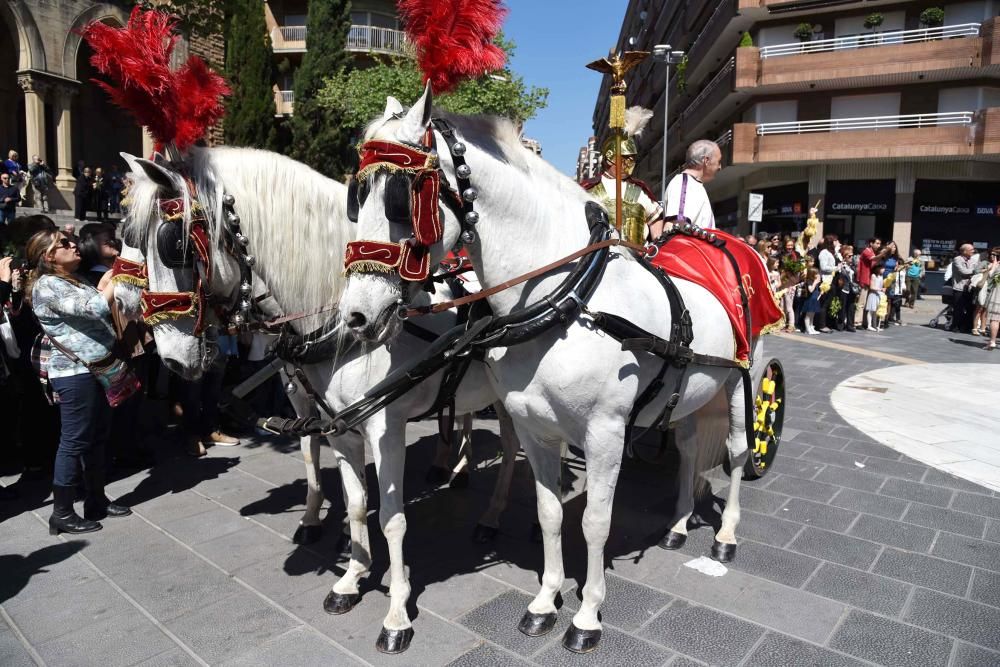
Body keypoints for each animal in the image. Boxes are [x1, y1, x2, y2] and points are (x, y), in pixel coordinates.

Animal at [115, 145, 524, 652]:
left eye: (174, 245)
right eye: (129, 236)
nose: (169, 357)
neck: (334, 323)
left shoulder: (385, 429)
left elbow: (392, 517)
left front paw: (396, 615)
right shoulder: (330, 419)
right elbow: (350, 498)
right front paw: (349, 574)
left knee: (512, 448)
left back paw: (492, 514)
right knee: (465, 419)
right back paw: (458, 470)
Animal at [340, 87, 768, 652]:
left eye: (400, 198)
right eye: (356, 197)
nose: (356, 316)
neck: (564, 300)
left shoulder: (606, 431)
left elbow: (594, 522)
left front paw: (587, 614)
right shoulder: (534, 426)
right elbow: (548, 514)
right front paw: (545, 601)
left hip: (744, 377)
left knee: (738, 451)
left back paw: (725, 535)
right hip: (695, 389)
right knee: (691, 446)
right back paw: (678, 525)